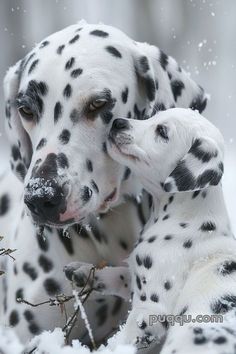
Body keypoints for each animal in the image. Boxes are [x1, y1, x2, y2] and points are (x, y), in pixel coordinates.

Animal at [106, 108, 236, 352]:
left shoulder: (150, 310)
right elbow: (120, 275)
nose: (117, 122)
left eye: (162, 132)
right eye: (153, 117)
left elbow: (123, 338)